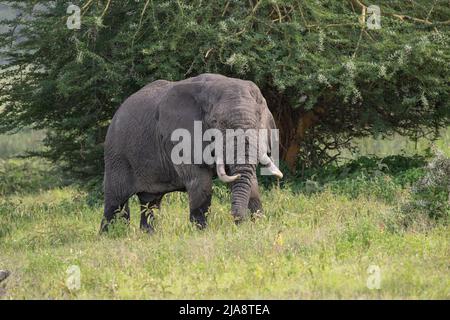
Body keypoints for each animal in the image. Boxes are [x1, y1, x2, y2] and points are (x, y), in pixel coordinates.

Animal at [100, 72, 284, 232]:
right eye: (216, 122)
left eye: (258, 119)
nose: (238, 221)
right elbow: (200, 182)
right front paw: (201, 232)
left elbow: (250, 181)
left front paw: (257, 226)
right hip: (117, 155)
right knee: (115, 201)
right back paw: (110, 235)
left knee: (150, 202)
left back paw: (148, 235)